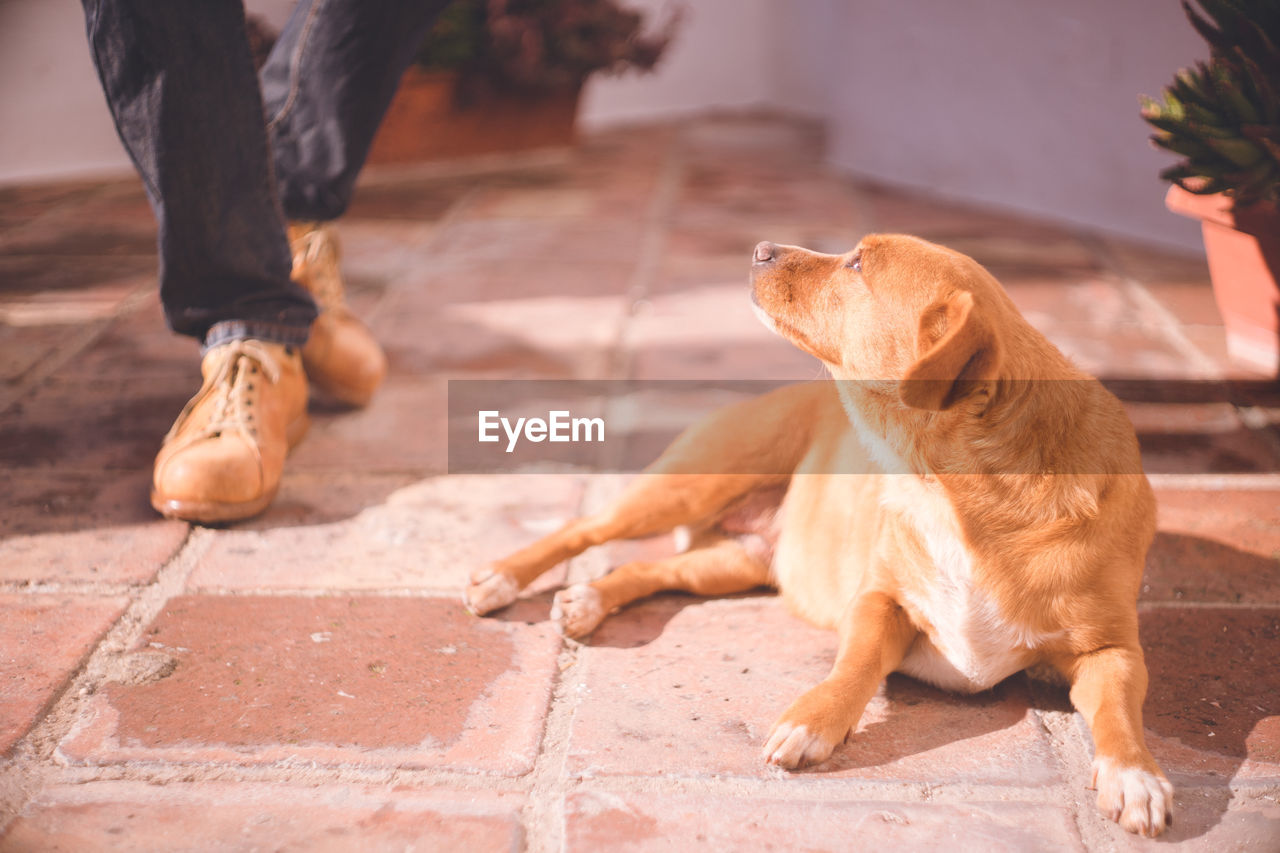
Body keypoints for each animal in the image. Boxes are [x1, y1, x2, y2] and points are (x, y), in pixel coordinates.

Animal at [465, 235, 1172, 835]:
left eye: (857, 264)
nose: (759, 246)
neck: (954, 490)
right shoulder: (879, 602)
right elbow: (853, 666)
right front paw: (813, 722)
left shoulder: (1112, 650)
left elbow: (1119, 712)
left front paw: (1135, 775)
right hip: (689, 485)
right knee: (585, 527)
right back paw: (500, 578)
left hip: (733, 564)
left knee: (647, 570)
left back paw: (589, 599)